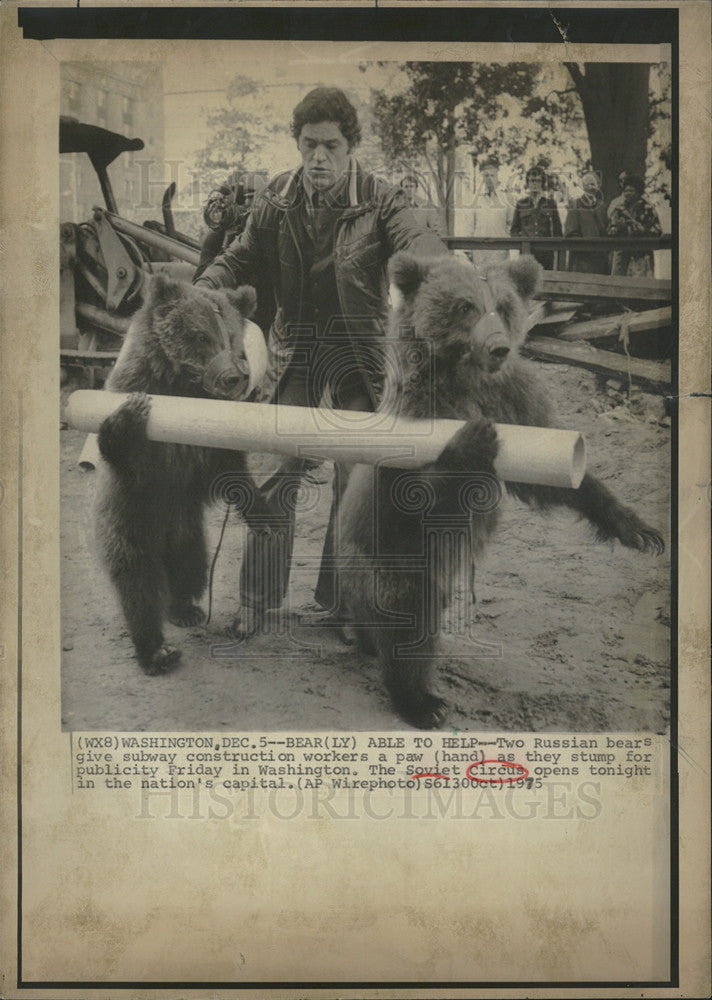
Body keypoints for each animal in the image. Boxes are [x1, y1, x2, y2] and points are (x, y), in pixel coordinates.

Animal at [95, 274, 272, 676]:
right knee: (137, 580)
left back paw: (185, 608)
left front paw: (263, 514)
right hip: (130, 521)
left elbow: (227, 469)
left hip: (187, 528)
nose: (232, 378)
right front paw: (128, 419)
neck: (183, 388)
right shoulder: (149, 458)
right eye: (200, 335)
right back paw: (156, 650)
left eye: (233, 341)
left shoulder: (205, 447)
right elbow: (134, 460)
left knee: (191, 565)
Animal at [336, 254, 664, 732]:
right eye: (466, 305)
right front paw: (472, 442)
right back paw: (422, 701)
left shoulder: (516, 401)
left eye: (504, 306)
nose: (498, 348)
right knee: (408, 621)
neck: (469, 382)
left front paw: (639, 529)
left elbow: (552, 476)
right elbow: (419, 487)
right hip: (392, 557)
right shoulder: (420, 417)